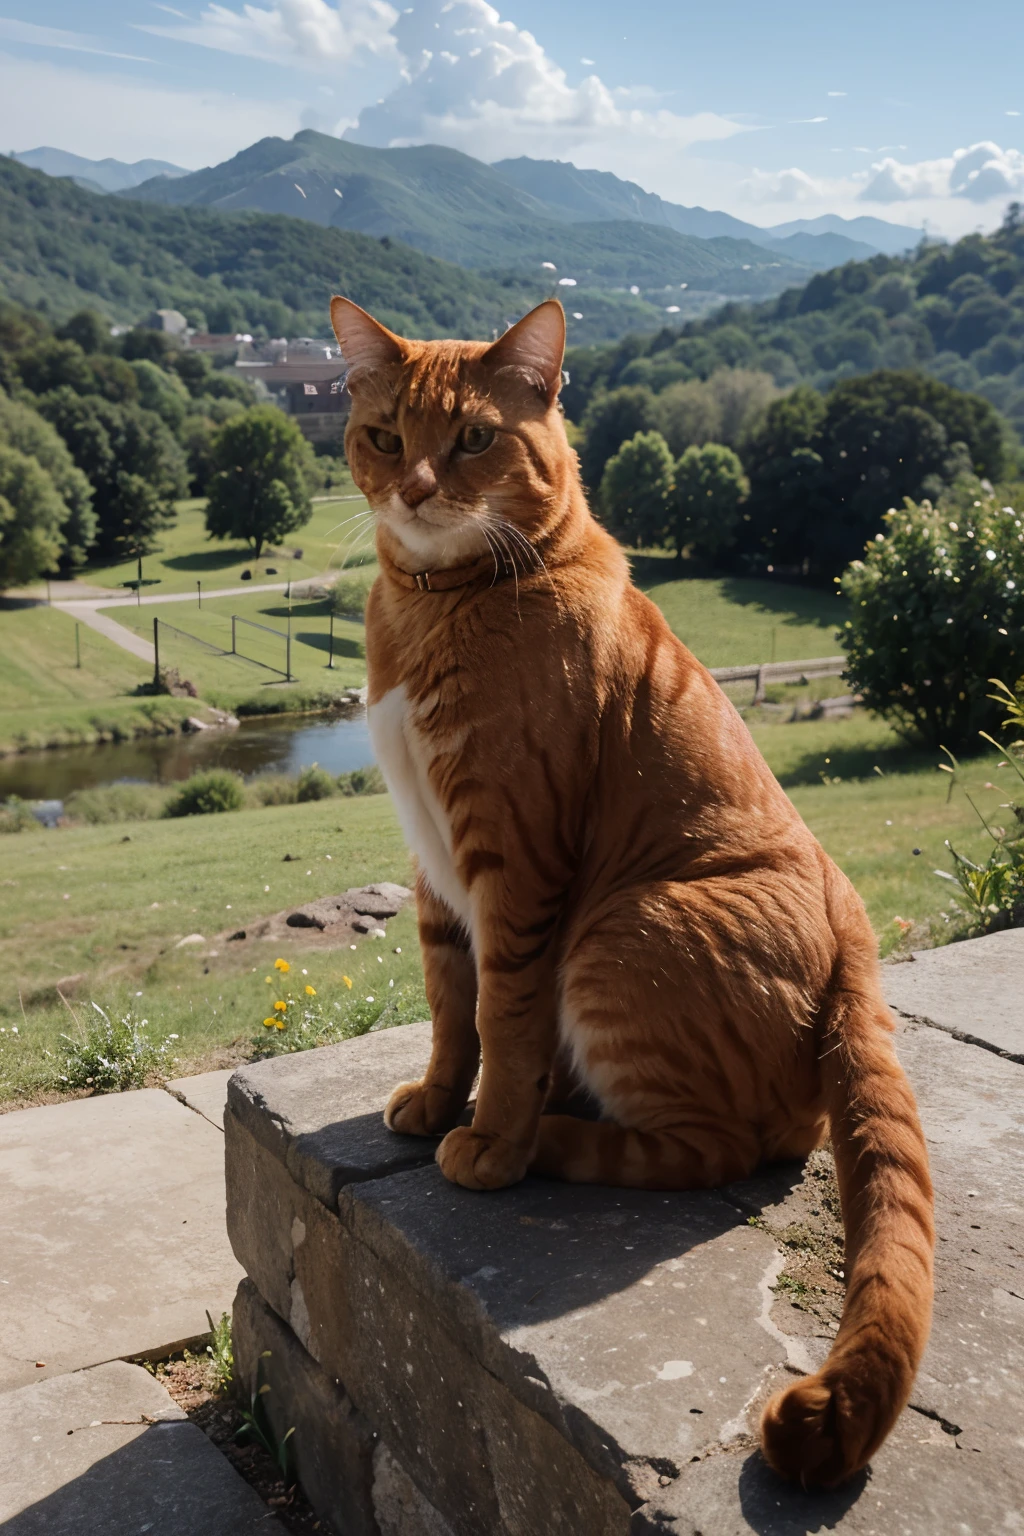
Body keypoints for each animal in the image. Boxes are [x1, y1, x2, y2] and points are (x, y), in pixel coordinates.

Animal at [330, 296, 939, 1486]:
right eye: (385, 436)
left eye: (473, 439)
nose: (415, 488)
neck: (436, 604)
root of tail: (850, 924)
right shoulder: (433, 866)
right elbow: (448, 1005)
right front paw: (436, 1099)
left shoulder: (513, 862)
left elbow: (505, 1019)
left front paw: (489, 1140)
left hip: (621, 929)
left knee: (729, 1148)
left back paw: (551, 1139)